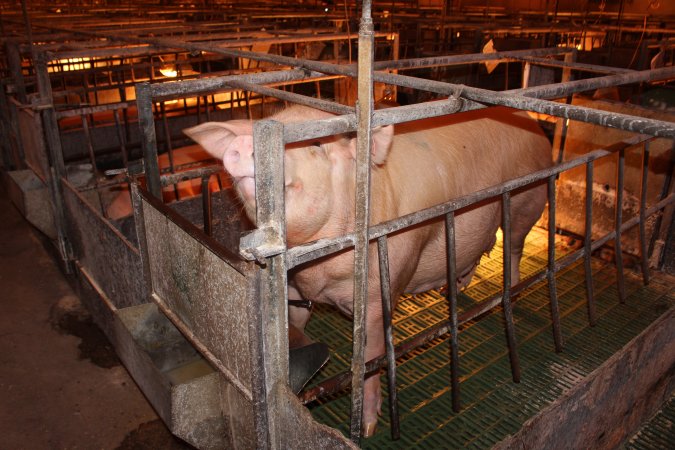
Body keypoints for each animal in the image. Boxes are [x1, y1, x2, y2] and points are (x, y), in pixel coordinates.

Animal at [182, 104, 552, 436]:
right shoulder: (293, 287)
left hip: (527, 200)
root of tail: (528, 118)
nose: (245, 142)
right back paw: (454, 288)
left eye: (317, 144)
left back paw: (511, 294)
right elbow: (296, 326)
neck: (319, 272)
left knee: (513, 248)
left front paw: (369, 427)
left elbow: (371, 359)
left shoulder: (380, 294)